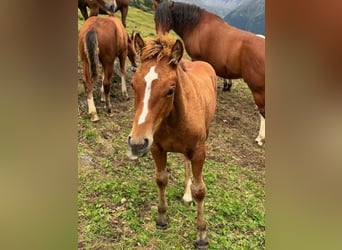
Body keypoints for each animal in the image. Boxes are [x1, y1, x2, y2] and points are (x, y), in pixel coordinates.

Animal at [127, 33, 218, 250]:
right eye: (133, 84)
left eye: (170, 89)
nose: (136, 143)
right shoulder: (156, 148)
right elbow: (161, 179)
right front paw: (162, 218)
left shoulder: (198, 152)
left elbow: (200, 190)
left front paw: (201, 235)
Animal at [154, 0, 266, 146]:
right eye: (155, 18)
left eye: (168, 18)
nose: (161, 40)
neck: (196, 25)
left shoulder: (196, 59)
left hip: (258, 88)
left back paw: (260, 138)